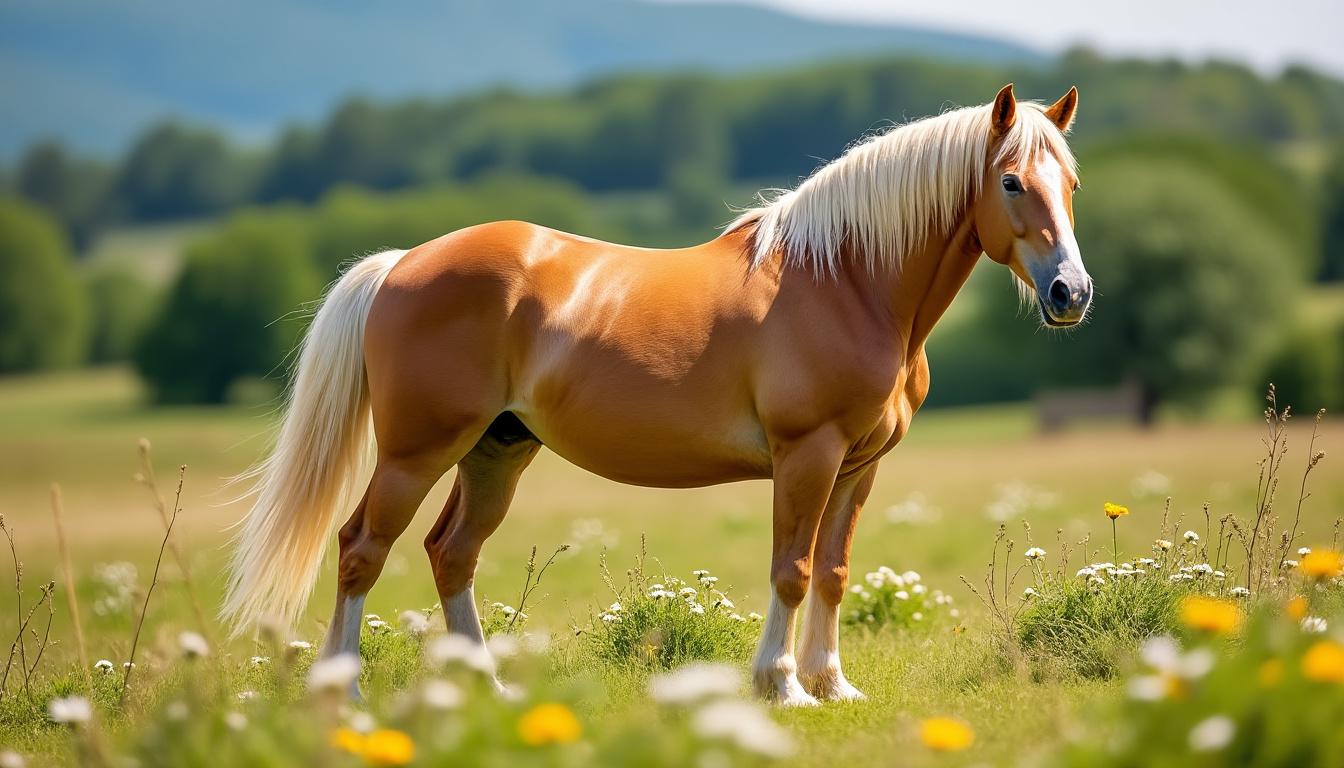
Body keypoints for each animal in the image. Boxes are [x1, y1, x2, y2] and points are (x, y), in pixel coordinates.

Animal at [223, 83, 1089, 706]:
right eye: (1012, 181)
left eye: (1073, 183)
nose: (1070, 293)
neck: (847, 281)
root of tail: (403, 263)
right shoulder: (807, 456)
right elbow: (791, 569)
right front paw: (782, 688)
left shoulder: (859, 466)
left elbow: (834, 572)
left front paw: (832, 685)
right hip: (417, 452)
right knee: (360, 550)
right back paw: (346, 694)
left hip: (496, 452)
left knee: (451, 553)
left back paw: (488, 685)